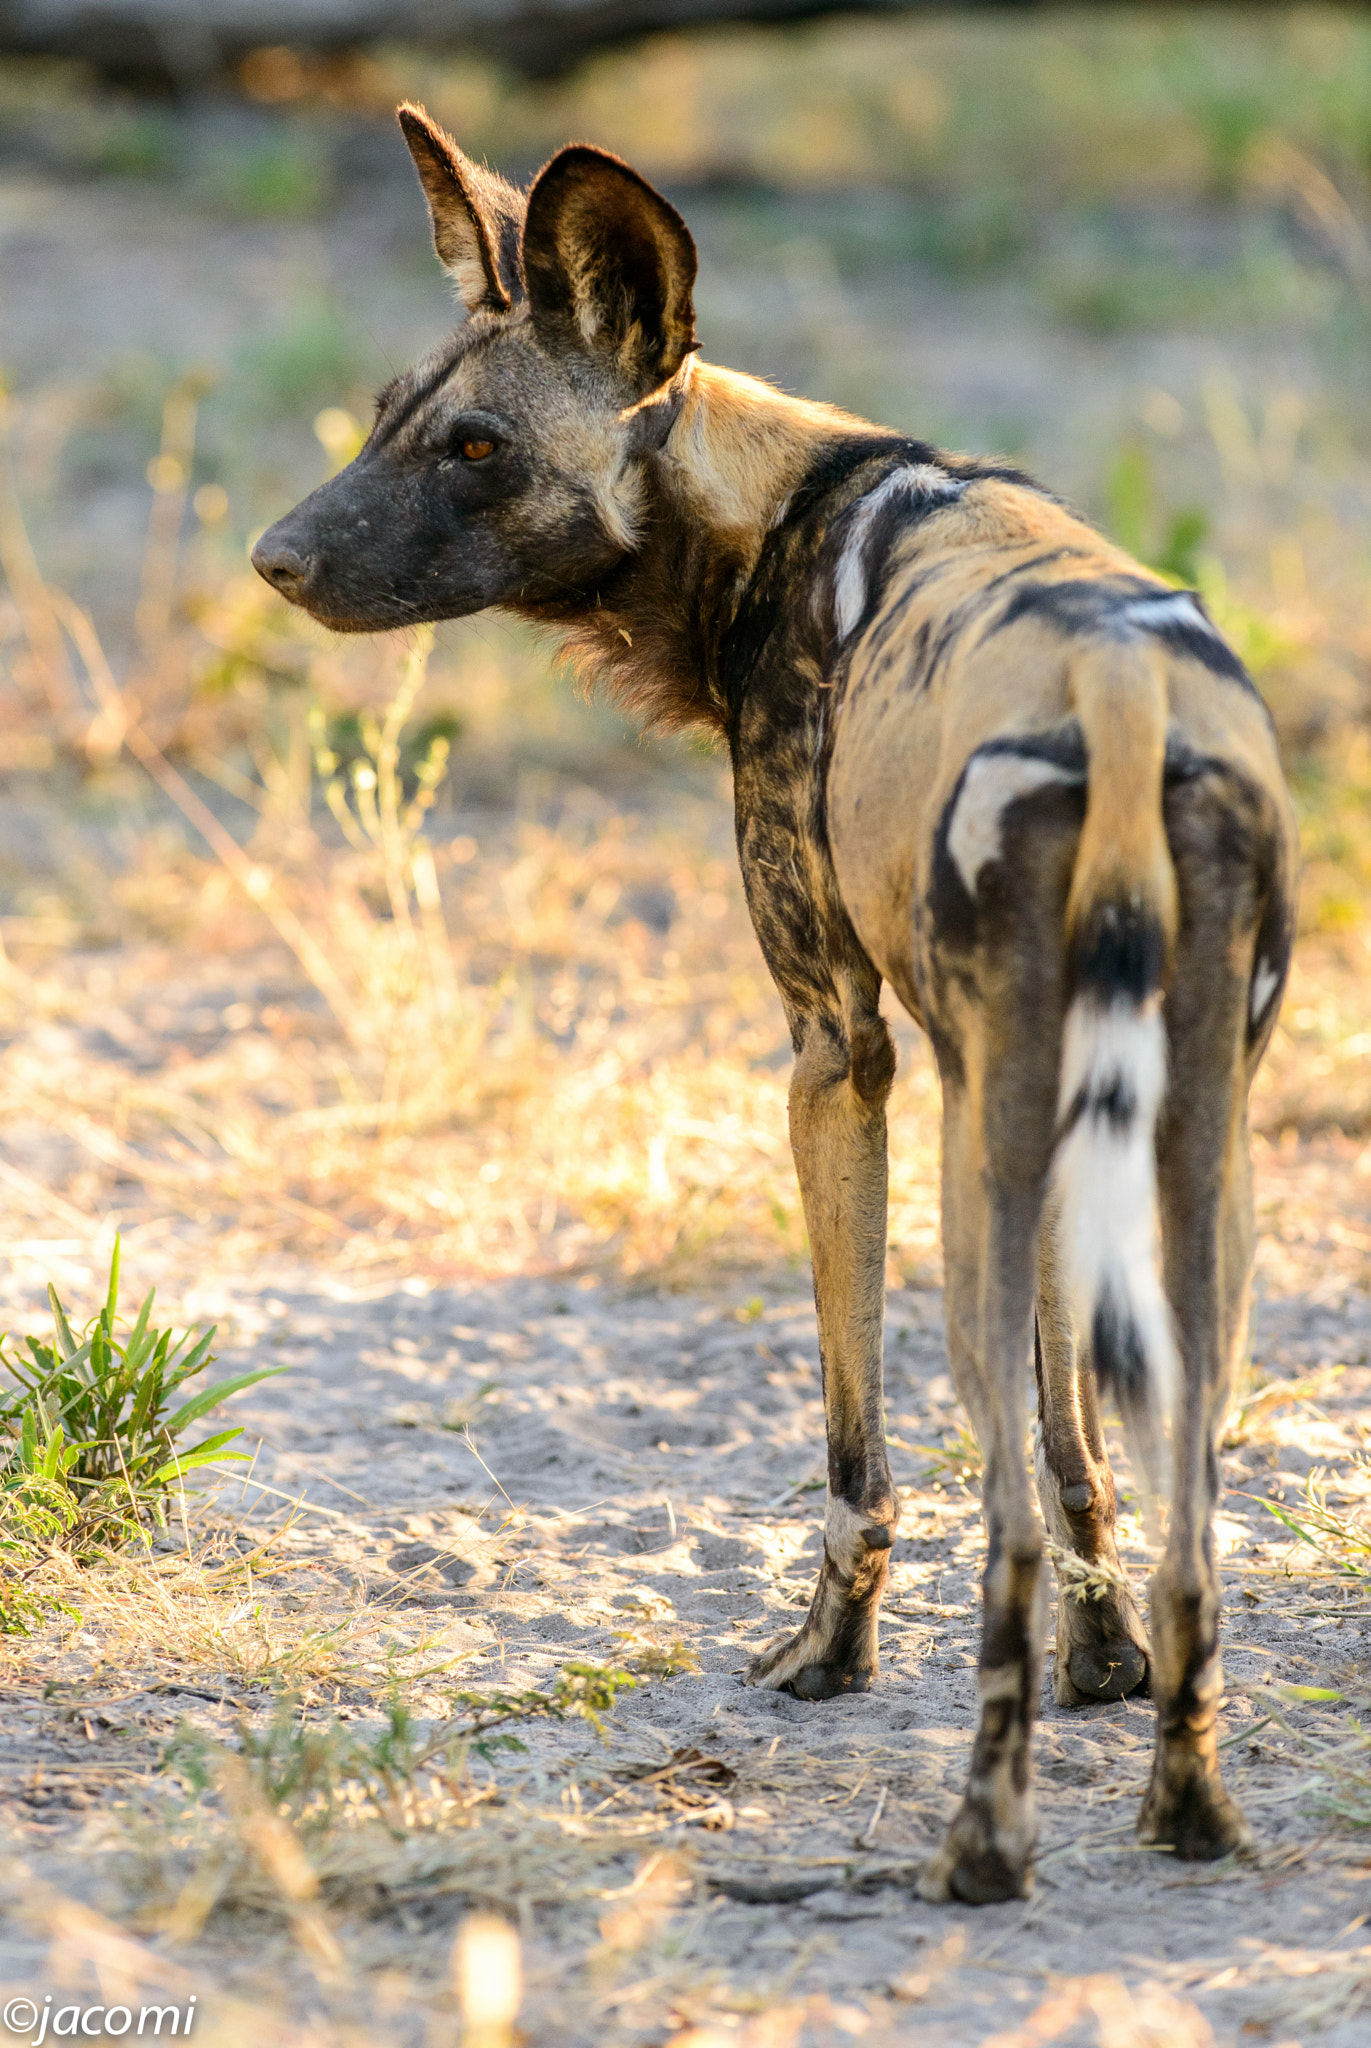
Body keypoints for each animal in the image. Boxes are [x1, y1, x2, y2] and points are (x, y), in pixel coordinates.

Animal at [254, 108, 1295, 1900]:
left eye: (476, 446)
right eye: (391, 415)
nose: (277, 559)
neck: (763, 519)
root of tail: (1114, 679)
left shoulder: (839, 1057)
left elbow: (860, 1452)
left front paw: (829, 1655)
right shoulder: (1012, 1103)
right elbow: (1085, 1452)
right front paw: (1106, 1673)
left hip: (981, 1168)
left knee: (994, 1512)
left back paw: (981, 1849)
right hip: (1187, 1168)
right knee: (1188, 1507)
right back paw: (1188, 1811)